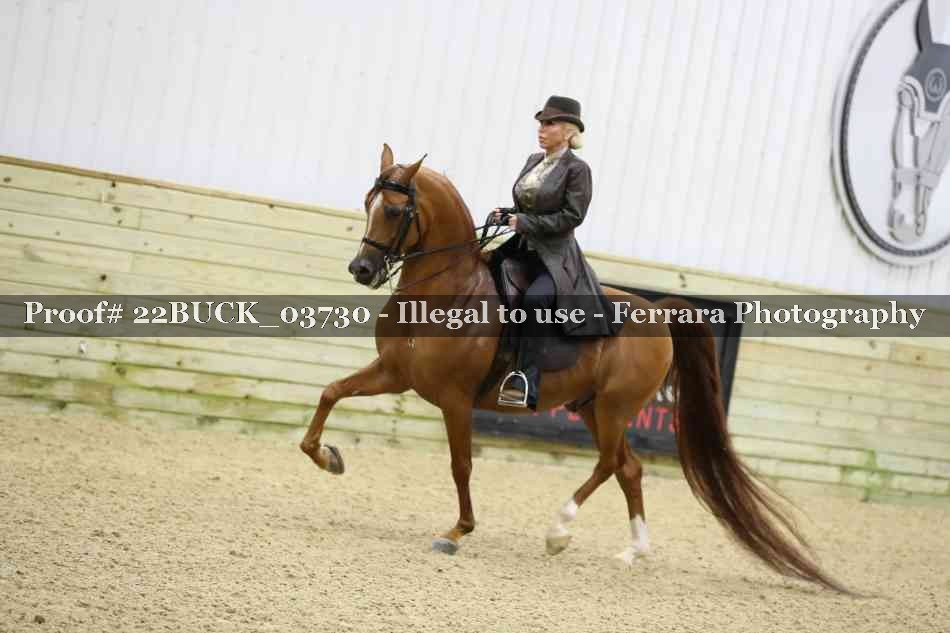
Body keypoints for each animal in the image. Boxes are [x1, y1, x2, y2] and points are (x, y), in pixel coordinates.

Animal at [298, 144, 848, 593]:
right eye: (366, 203)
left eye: (394, 210)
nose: (362, 270)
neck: (448, 291)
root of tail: (658, 312)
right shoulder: (396, 374)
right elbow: (330, 392)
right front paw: (328, 457)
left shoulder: (455, 400)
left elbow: (461, 464)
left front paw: (457, 532)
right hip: (591, 407)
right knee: (629, 467)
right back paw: (632, 551)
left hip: (615, 407)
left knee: (607, 464)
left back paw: (558, 531)